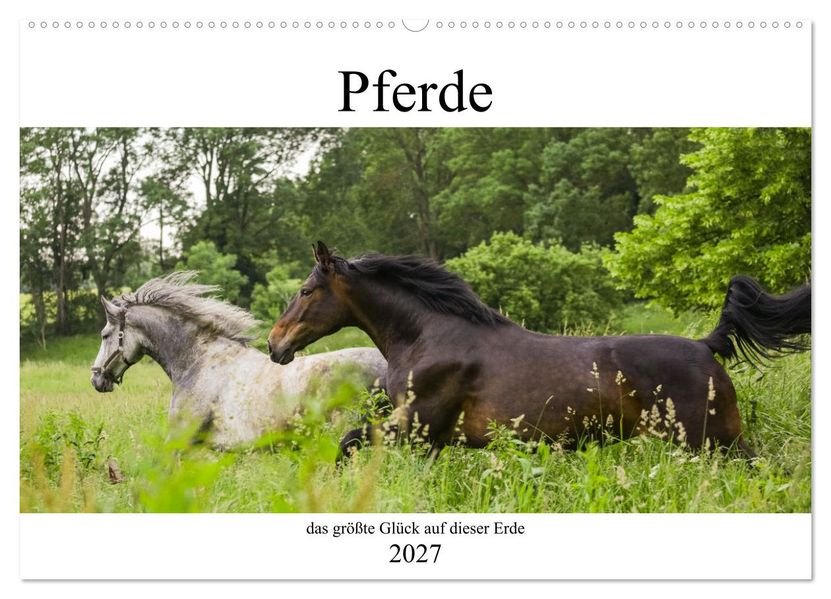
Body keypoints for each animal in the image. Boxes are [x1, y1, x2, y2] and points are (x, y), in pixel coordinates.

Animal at [267, 242, 810, 459]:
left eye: (306, 290)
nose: (275, 345)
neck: (426, 336)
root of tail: (704, 345)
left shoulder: (416, 426)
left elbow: (347, 444)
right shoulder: (433, 440)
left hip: (714, 440)